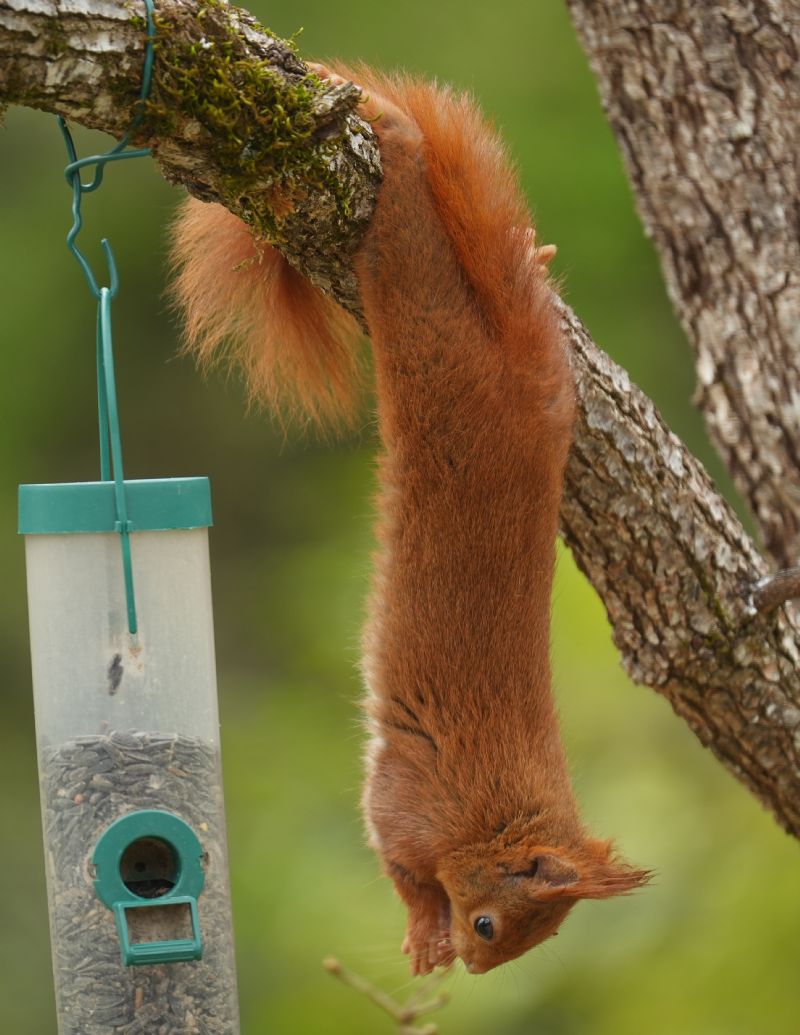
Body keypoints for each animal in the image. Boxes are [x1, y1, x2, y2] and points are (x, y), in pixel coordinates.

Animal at [169, 62, 649, 968]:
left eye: (534, 940)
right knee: (414, 240)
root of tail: (520, 387)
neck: (495, 813)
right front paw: (426, 930)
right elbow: (398, 865)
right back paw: (396, 131)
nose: (473, 961)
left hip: (520, 363)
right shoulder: (413, 803)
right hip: (420, 309)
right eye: (491, 924)